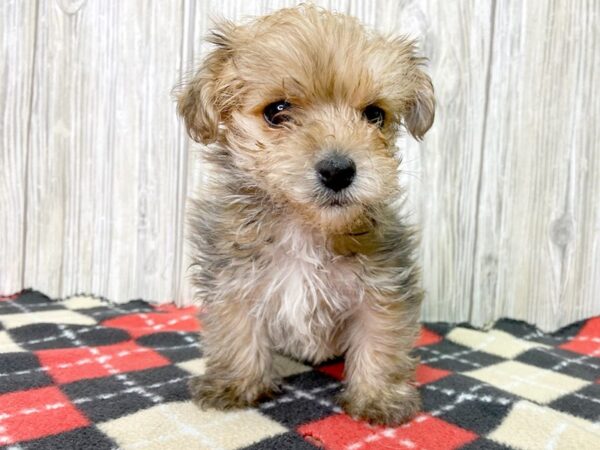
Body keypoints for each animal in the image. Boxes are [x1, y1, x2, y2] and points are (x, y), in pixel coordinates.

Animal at [176, 4, 434, 426]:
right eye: (277, 111)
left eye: (374, 115)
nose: (338, 170)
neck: (305, 226)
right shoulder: (232, 279)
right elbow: (236, 330)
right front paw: (235, 384)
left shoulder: (383, 287)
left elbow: (380, 340)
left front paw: (379, 397)